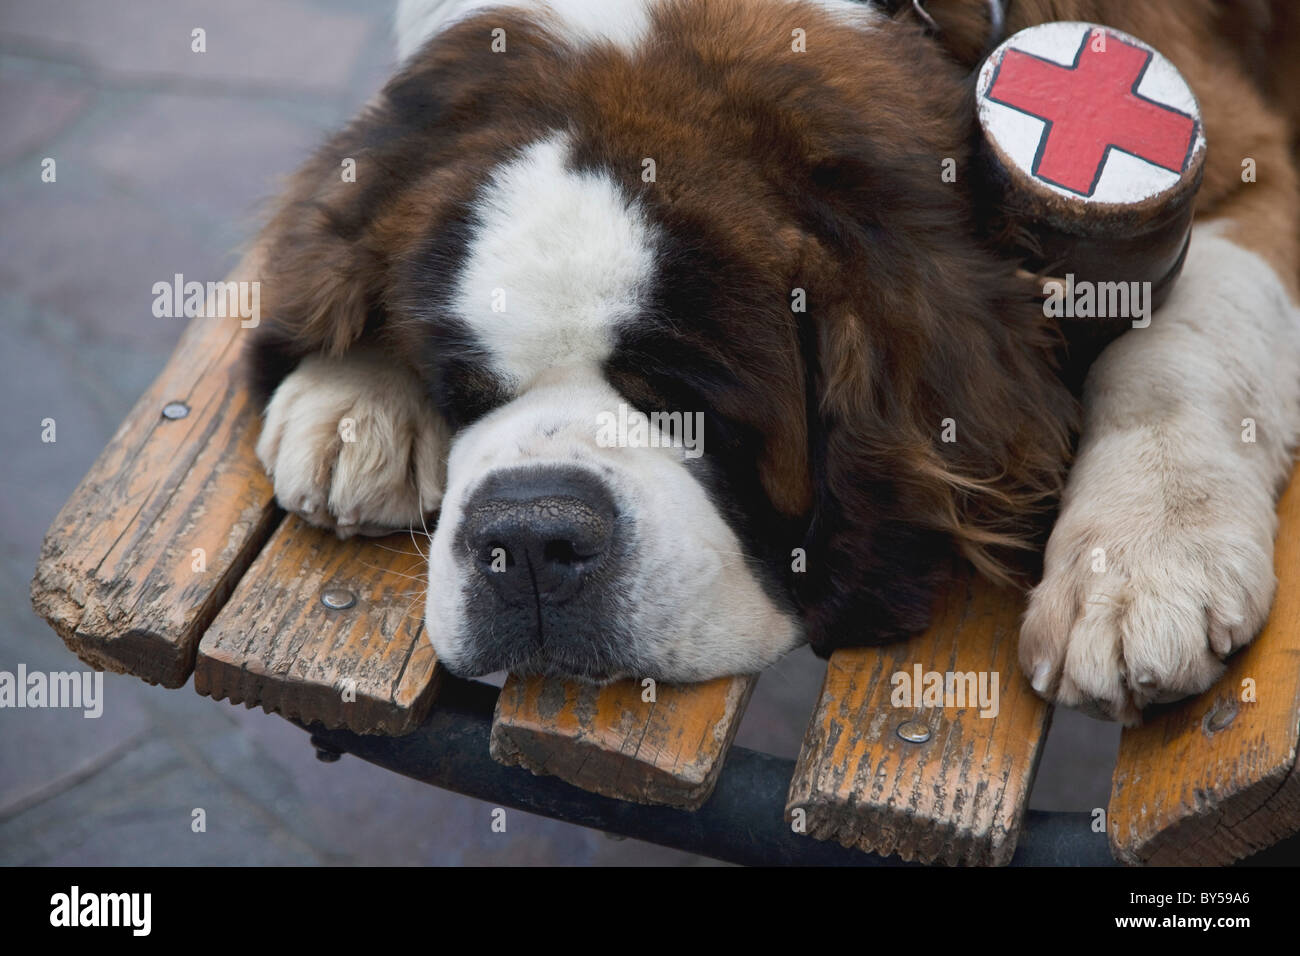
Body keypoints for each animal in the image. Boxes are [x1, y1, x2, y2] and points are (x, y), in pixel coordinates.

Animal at [248, 0, 1300, 723]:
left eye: (692, 406)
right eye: (462, 391)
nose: (532, 539)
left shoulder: (1232, 176)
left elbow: (1181, 347)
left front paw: (1144, 556)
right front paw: (352, 396)